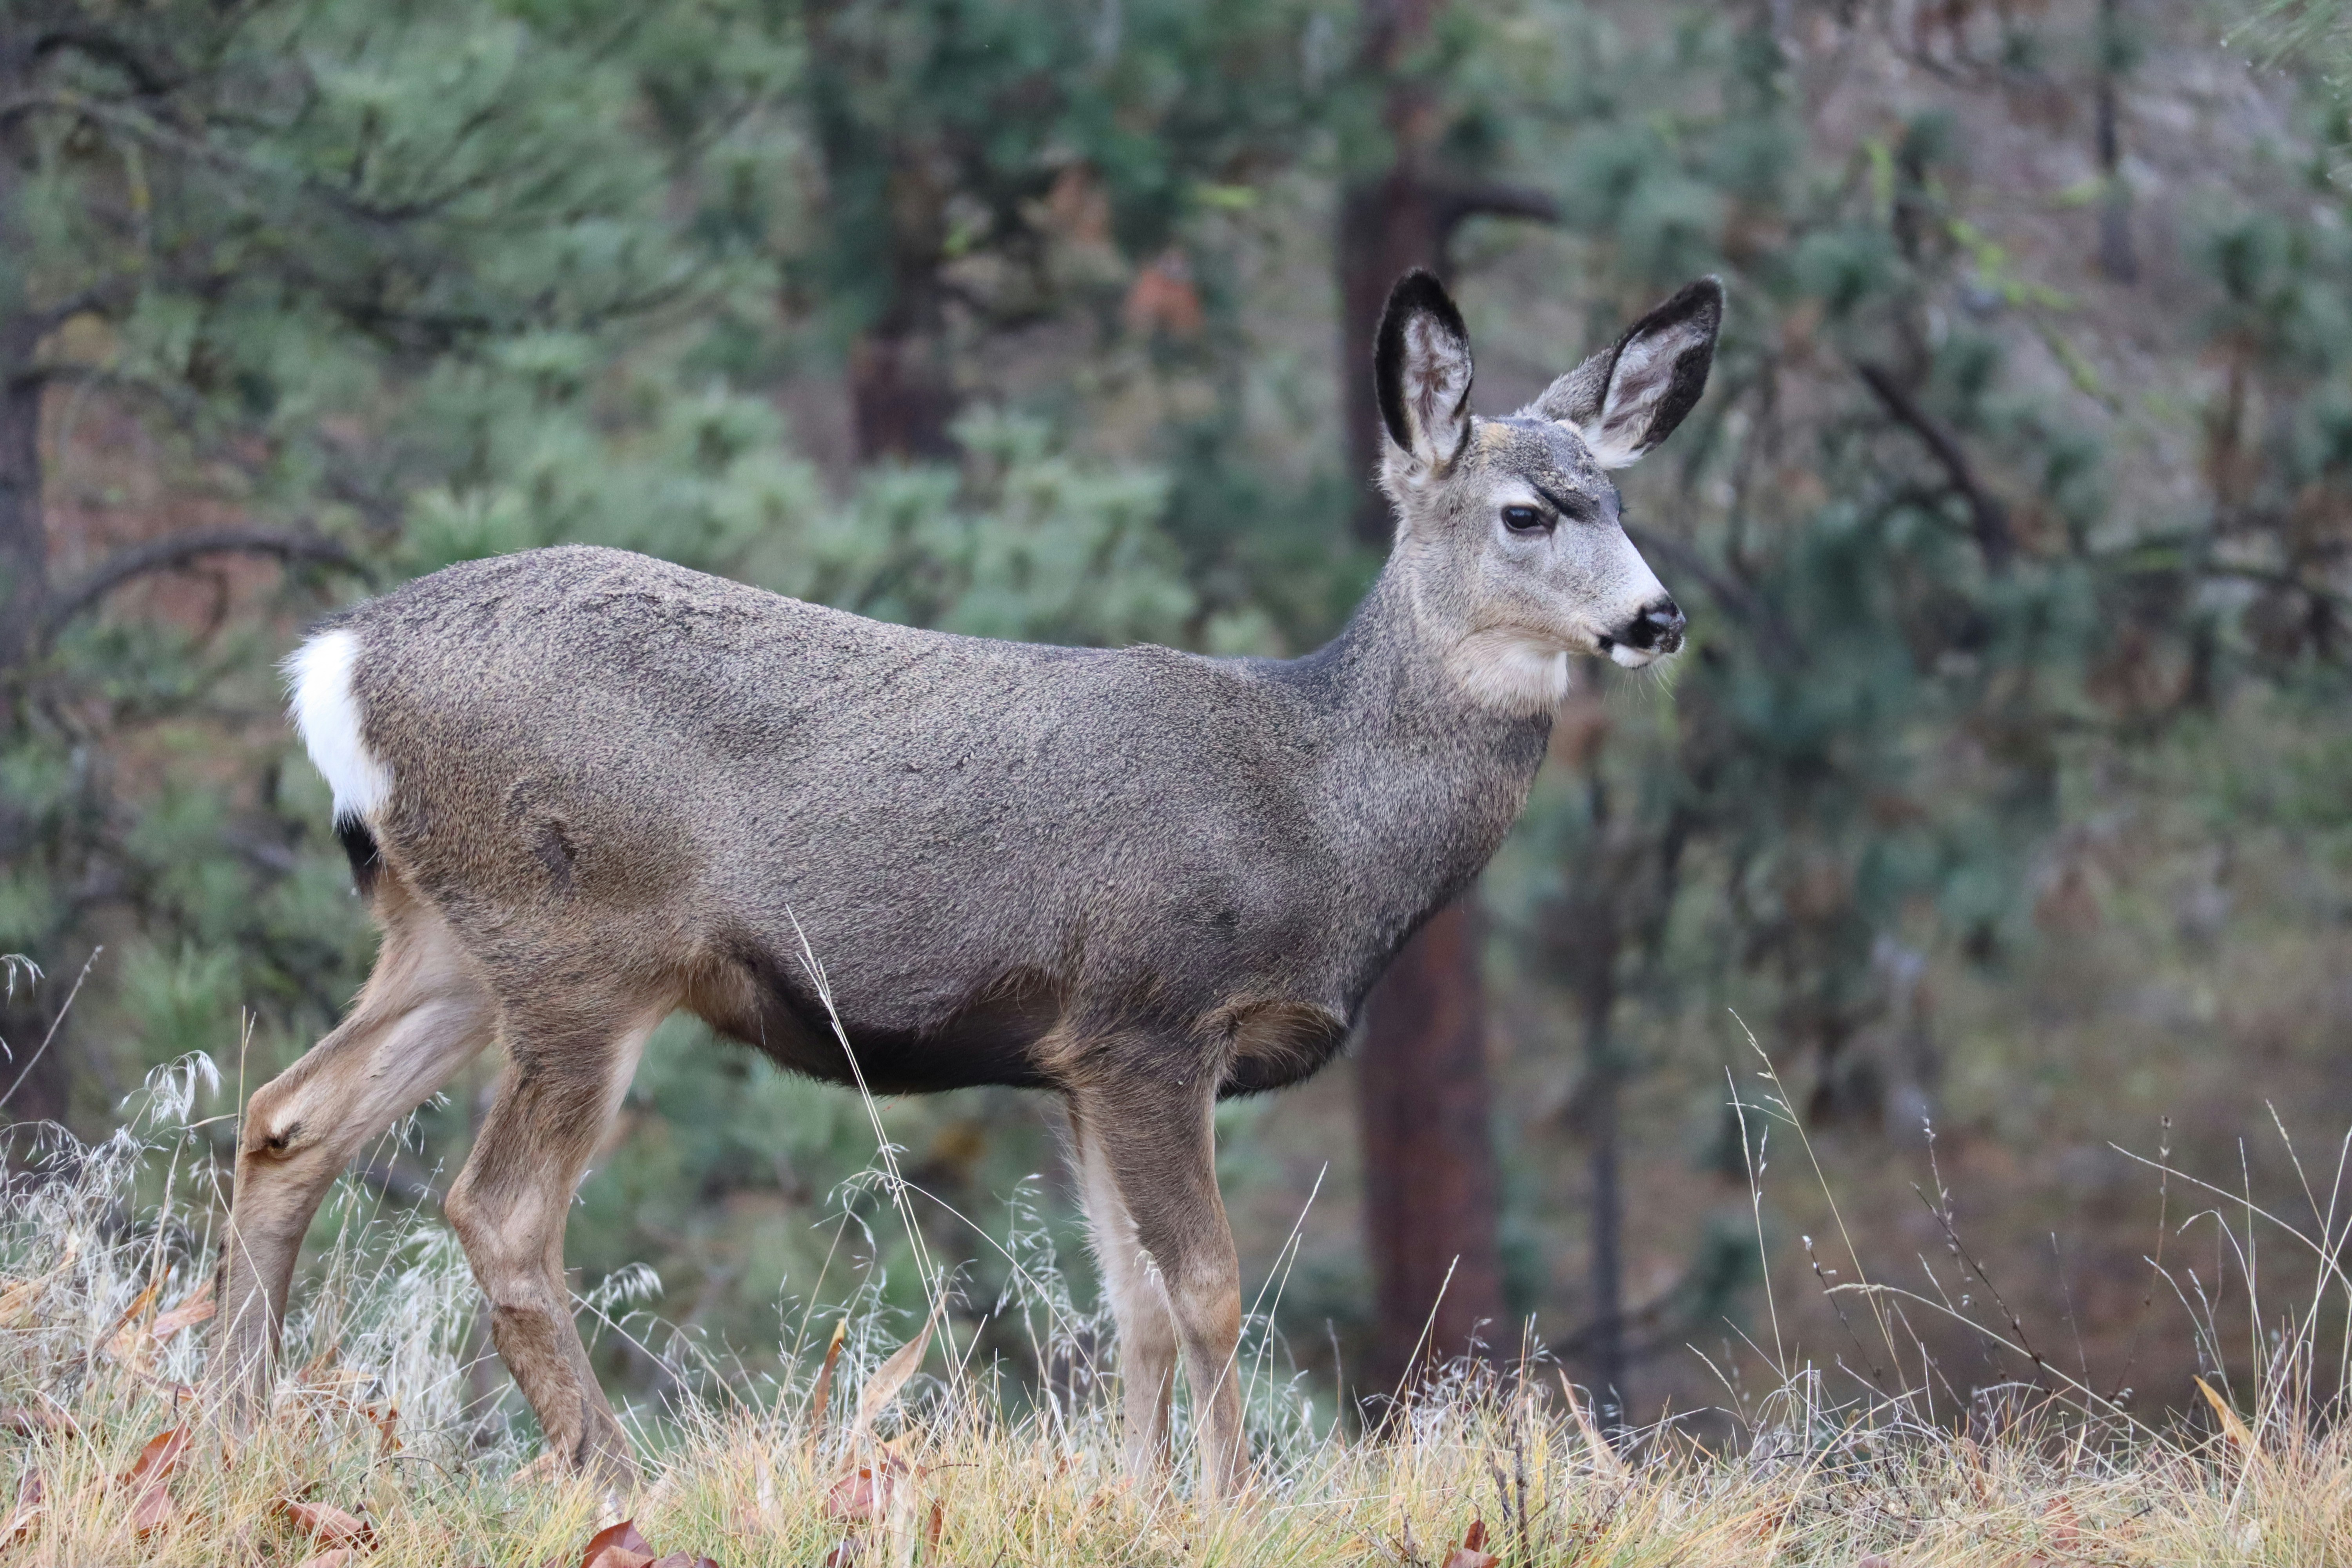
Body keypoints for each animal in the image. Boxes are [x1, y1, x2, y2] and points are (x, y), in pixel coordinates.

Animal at [210, 268, 1721, 1499]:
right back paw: (620, 1480)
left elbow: (1135, 1308)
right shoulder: (1152, 1019)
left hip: (454, 937)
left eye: (1621, 500)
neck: (1317, 807)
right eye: (1525, 512)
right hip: (585, 940)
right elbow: (1211, 1289)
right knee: (497, 1210)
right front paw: (1231, 1503)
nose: (1658, 616)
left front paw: (1139, 1500)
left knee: (288, 1120)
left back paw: (238, 1418)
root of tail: (336, 660)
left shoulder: (1080, 1063)